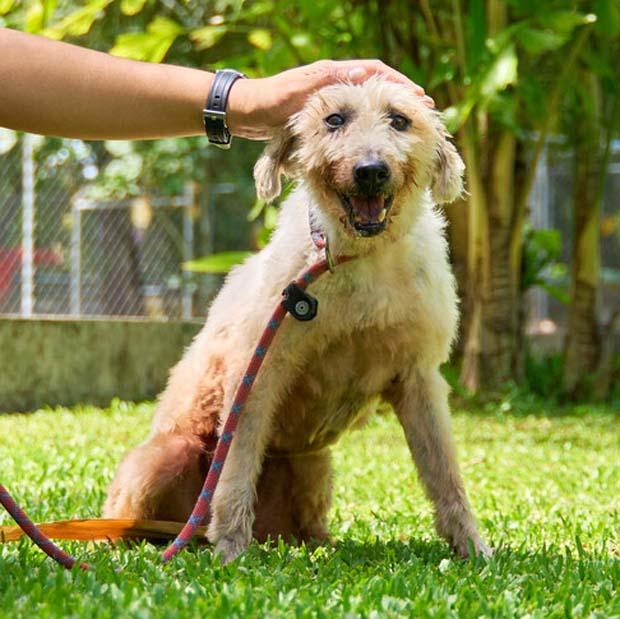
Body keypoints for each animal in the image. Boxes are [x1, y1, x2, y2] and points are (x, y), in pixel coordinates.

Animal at [104, 77, 491, 562]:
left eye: (400, 120)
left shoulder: (418, 377)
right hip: (160, 460)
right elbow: (236, 470)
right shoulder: (257, 374)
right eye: (334, 119)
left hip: (315, 466)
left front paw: (472, 545)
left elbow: (445, 475)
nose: (370, 170)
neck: (355, 257)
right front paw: (229, 548)